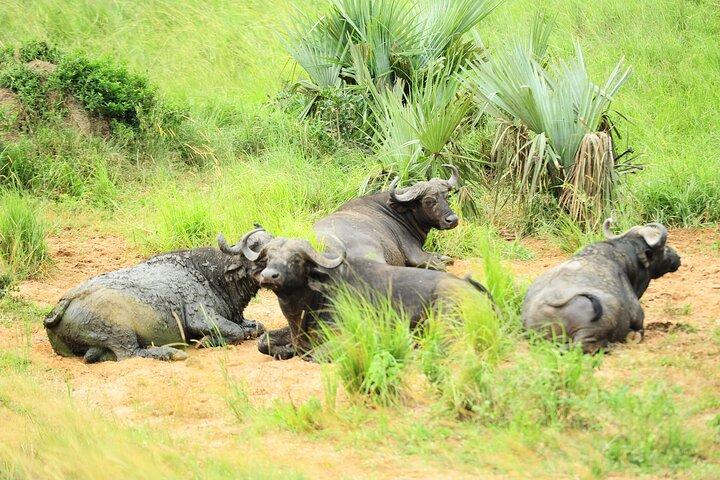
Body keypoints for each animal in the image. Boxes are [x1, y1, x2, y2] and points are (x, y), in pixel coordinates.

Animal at [44, 230, 272, 362]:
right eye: (263, 257)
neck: (210, 275)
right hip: (119, 330)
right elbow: (236, 332)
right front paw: (205, 341)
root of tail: (65, 301)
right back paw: (171, 353)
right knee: (129, 354)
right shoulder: (201, 318)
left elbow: (258, 327)